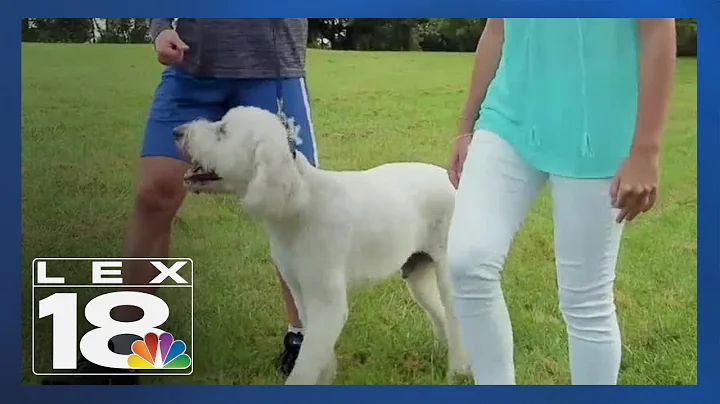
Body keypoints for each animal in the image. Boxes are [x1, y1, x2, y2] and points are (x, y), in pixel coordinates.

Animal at [173, 105, 466, 384]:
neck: (301, 203)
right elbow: (317, 353)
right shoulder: (300, 289)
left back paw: (458, 371)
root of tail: (453, 183)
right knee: (442, 313)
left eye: (222, 131)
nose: (177, 132)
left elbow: (307, 363)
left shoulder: (327, 300)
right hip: (417, 272)